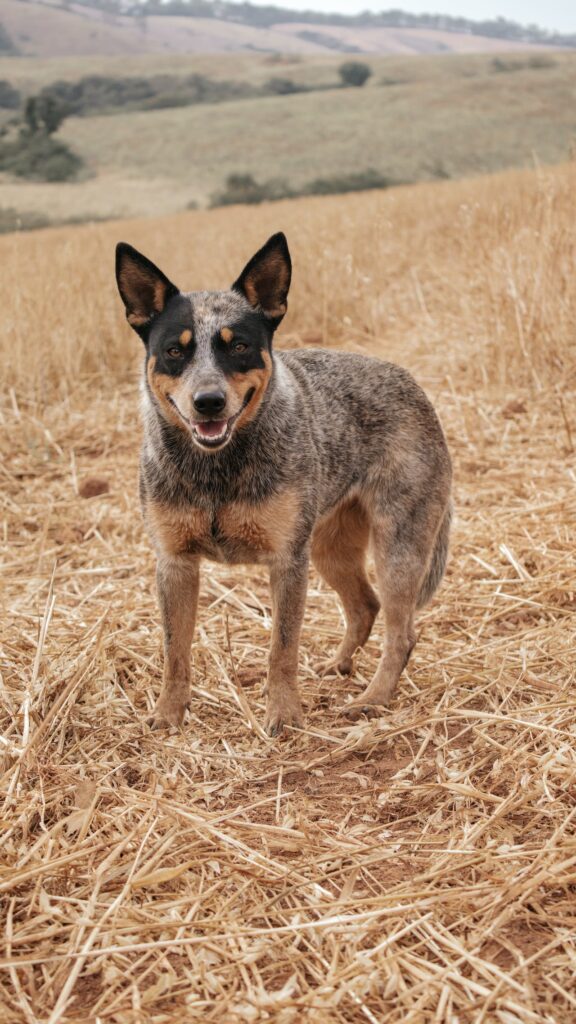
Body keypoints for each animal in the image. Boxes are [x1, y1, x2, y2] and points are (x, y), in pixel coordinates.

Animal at [115, 233, 448, 733]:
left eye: (238, 346)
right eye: (175, 350)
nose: (208, 402)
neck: (217, 470)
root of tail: (413, 385)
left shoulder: (288, 561)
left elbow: (282, 648)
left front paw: (284, 713)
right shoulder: (174, 564)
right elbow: (175, 651)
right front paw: (168, 713)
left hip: (397, 548)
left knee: (402, 632)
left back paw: (373, 698)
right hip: (330, 548)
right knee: (364, 607)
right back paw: (339, 666)